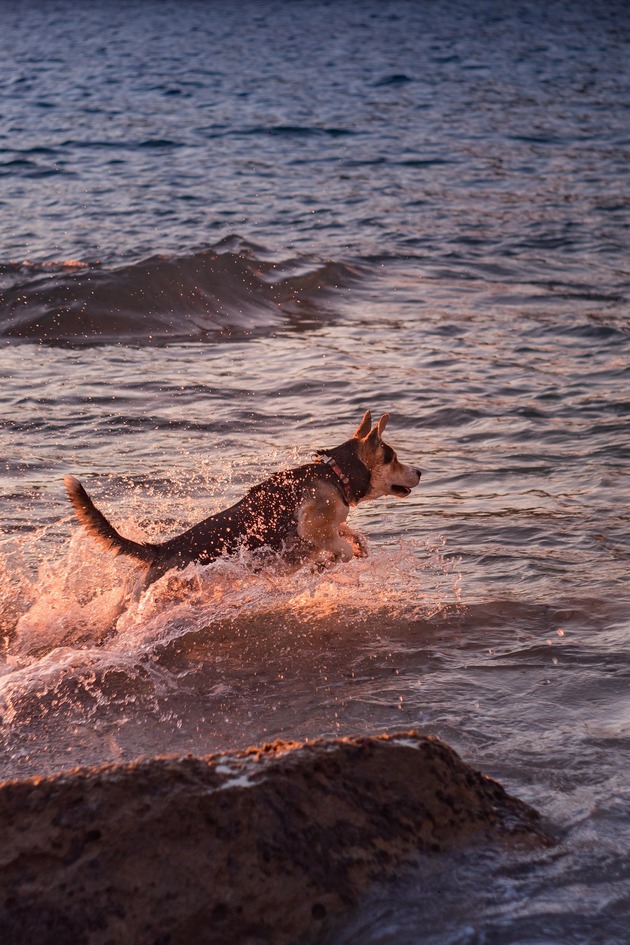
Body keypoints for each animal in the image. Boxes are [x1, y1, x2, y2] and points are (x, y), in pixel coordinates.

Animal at [64, 412, 422, 584]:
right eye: (392, 458)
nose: (420, 471)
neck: (336, 473)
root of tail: (162, 549)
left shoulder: (332, 523)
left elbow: (350, 535)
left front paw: (354, 547)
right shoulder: (314, 526)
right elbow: (340, 548)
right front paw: (326, 563)